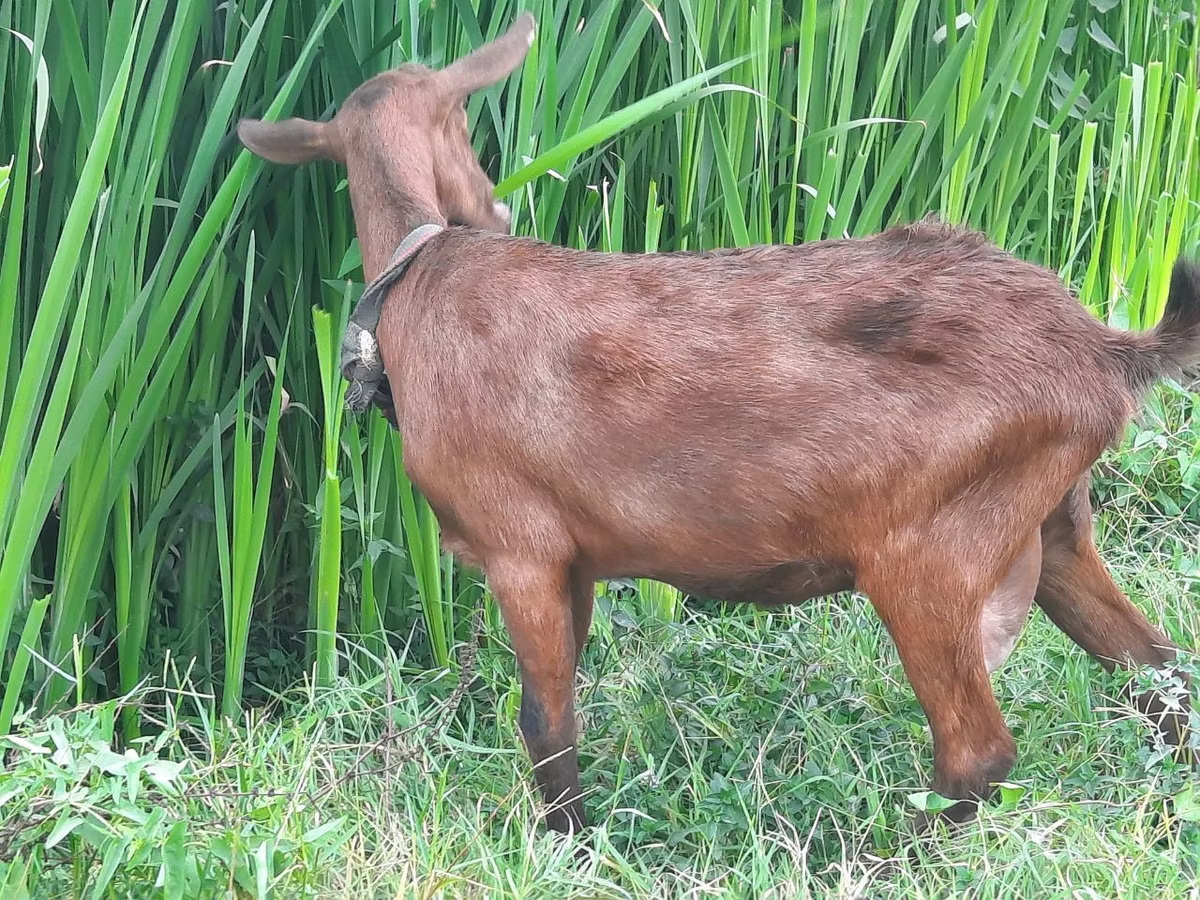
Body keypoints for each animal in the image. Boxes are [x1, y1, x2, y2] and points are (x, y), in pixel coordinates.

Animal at [237, 12, 1200, 836]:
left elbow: (545, 720)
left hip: (931, 549)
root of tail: (1103, 349)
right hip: (1055, 523)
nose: (496, 207)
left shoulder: (523, 546)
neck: (422, 280)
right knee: (1163, 673)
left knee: (979, 750)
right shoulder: (578, 560)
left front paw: (571, 845)